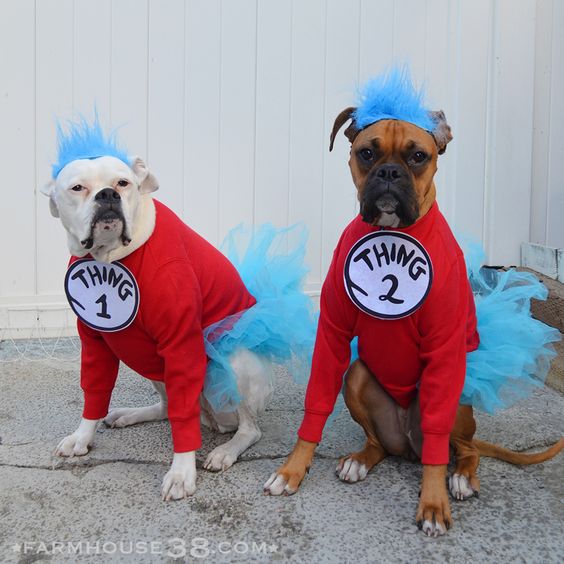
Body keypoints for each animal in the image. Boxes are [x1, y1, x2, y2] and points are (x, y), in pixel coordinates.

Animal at [40, 153, 274, 498]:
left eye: (123, 183)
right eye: (78, 188)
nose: (108, 194)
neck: (110, 258)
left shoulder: (180, 345)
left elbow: (182, 417)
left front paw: (181, 472)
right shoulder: (95, 343)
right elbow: (94, 392)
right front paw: (82, 437)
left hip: (235, 363)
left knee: (250, 429)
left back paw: (226, 450)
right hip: (150, 362)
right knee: (166, 407)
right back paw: (129, 415)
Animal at [266, 107, 564, 536]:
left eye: (418, 156)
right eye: (367, 153)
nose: (390, 172)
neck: (392, 231)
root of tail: (408, 446)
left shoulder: (445, 347)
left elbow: (436, 462)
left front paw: (434, 502)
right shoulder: (333, 333)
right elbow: (315, 404)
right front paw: (293, 469)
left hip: (454, 395)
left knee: (461, 450)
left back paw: (461, 477)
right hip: (357, 377)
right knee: (380, 445)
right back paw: (360, 460)